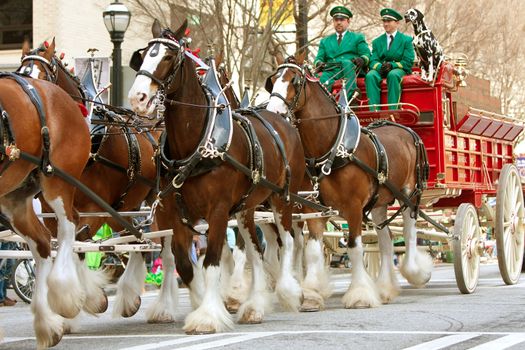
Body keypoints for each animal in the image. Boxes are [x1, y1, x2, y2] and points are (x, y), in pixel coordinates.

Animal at [0, 72, 90, 346]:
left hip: (58, 181)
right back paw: (47, 323)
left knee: (69, 225)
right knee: (41, 241)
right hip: (14, 197)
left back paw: (64, 296)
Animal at [17, 39, 166, 322]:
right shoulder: (54, 212)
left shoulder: (94, 210)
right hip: (124, 207)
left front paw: (90, 298)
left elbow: (80, 244)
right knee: (138, 240)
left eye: (42, 77)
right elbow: (61, 246)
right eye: (21, 73)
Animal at [127, 20, 304, 332]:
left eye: (168, 57)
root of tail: (281, 119)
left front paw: (208, 315)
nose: (138, 98)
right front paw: (203, 302)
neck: (196, 144)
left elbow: (211, 262)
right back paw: (254, 307)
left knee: (288, 240)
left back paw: (287, 291)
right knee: (257, 250)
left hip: (281, 200)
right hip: (246, 209)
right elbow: (186, 266)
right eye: (144, 55)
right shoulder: (175, 213)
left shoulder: (218, 211)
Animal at [266, 52, 430, 308]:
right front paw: (311, 293)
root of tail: (402, 127)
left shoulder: (353, 208)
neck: (332, 149)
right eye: (272, 80)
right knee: (386, 240)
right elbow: (313, 250)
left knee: (410, 231)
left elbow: (354, 247)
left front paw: (360, 294)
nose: (272, 111)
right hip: (380, 201)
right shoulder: (314, 208)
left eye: (294, 80)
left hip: (408, 195)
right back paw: (385, 288)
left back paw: (415, 272)